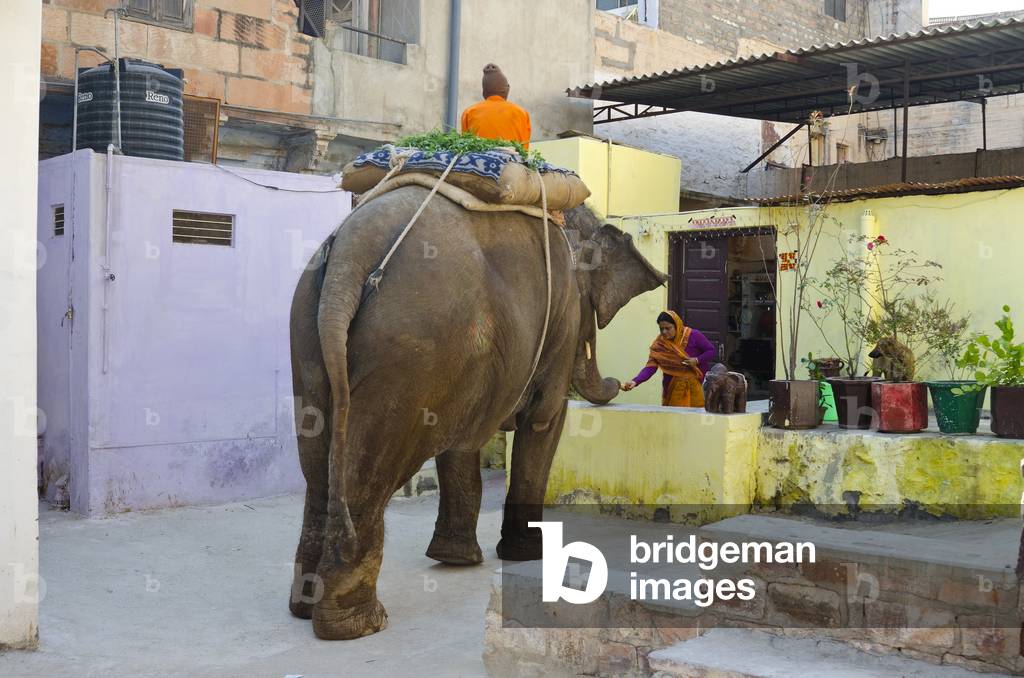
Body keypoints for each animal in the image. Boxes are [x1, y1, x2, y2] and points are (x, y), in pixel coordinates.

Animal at [287, 185, 666, 640]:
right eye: (592, 320)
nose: (619, 384)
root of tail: (349, 250)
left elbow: (463, 442)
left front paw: (456, 560)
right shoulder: (561, 316)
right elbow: (545, 418)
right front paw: (528, 556)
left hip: (308, 338)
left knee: (318, 465)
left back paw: (306, 610)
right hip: (410, 349)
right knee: (370, 465)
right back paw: (360, 624)